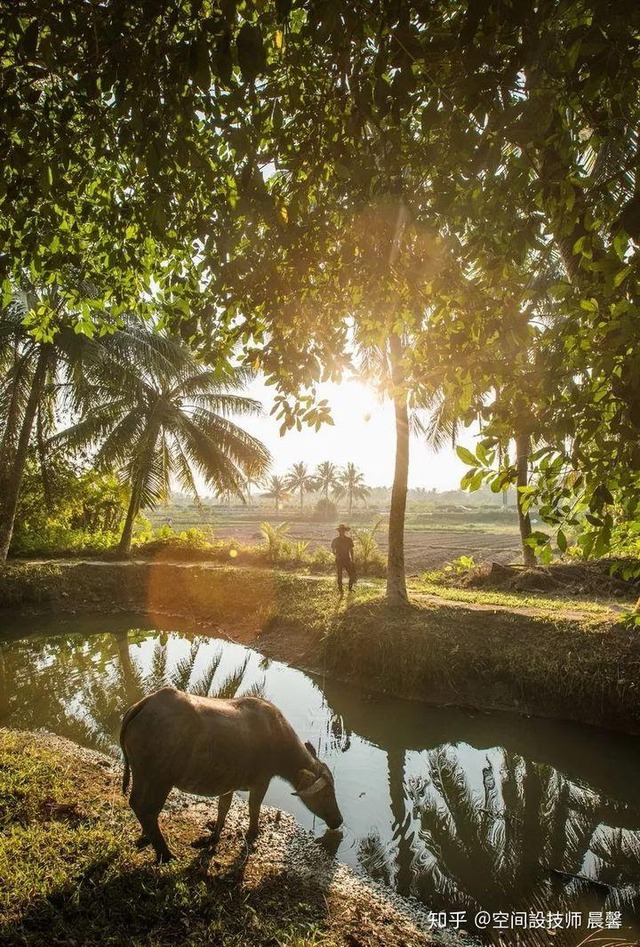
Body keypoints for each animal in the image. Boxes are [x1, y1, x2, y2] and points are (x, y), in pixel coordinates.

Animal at [119, 684, 340, 864]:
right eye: (327, 793)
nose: (338, 820)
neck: (277, 738)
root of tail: (145, 703)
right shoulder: (261, 782)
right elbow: (254, 808)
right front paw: (253, 833)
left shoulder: (228, 784)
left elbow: (223, 808)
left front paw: (215, 836)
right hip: (159, 780)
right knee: (147, 809)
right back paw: (165, 854)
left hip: (141, 774)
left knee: (136, 803)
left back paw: (146, 838)